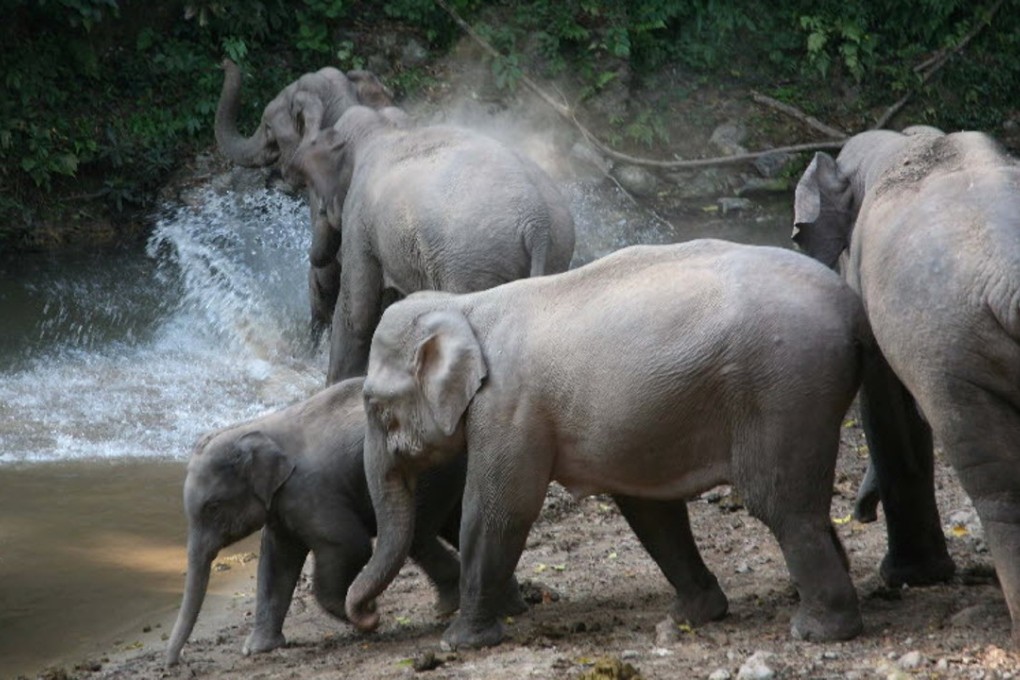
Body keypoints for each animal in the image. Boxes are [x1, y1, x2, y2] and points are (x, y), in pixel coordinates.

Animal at [164, 378, 526, 666]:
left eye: (211, 507)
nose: (173, 664)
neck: (258, 427)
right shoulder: (281, 506)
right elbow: (276, 562)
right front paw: (257, 649)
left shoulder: (309, 492)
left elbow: (348, 544)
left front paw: (369, 615)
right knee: (454, 523)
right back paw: (509, 607)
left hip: (430, 472)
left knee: (419, 533)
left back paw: (449, 606)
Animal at [284, 99, 576, 384]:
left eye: (312, 190)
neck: (384, 129)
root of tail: (537, 221)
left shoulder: (359, 219)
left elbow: (357, 314)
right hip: (553, 255)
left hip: (474, 265)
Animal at [343, 240, 871, 650]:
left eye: (375, 406)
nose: (368, 617)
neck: (467, 306)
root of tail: (851, 309)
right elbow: (647, 507)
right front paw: (693, 615)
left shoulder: (509, 409)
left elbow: (500, 510)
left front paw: (458, 642)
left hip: (785, 390)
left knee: (781, 505)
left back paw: (818, 630)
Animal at [793, 127, 1020, 645]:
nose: (861, 512)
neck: (903, 143)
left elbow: (884, 405)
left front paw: (911, 577)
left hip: (950, 348)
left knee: (998, 484)